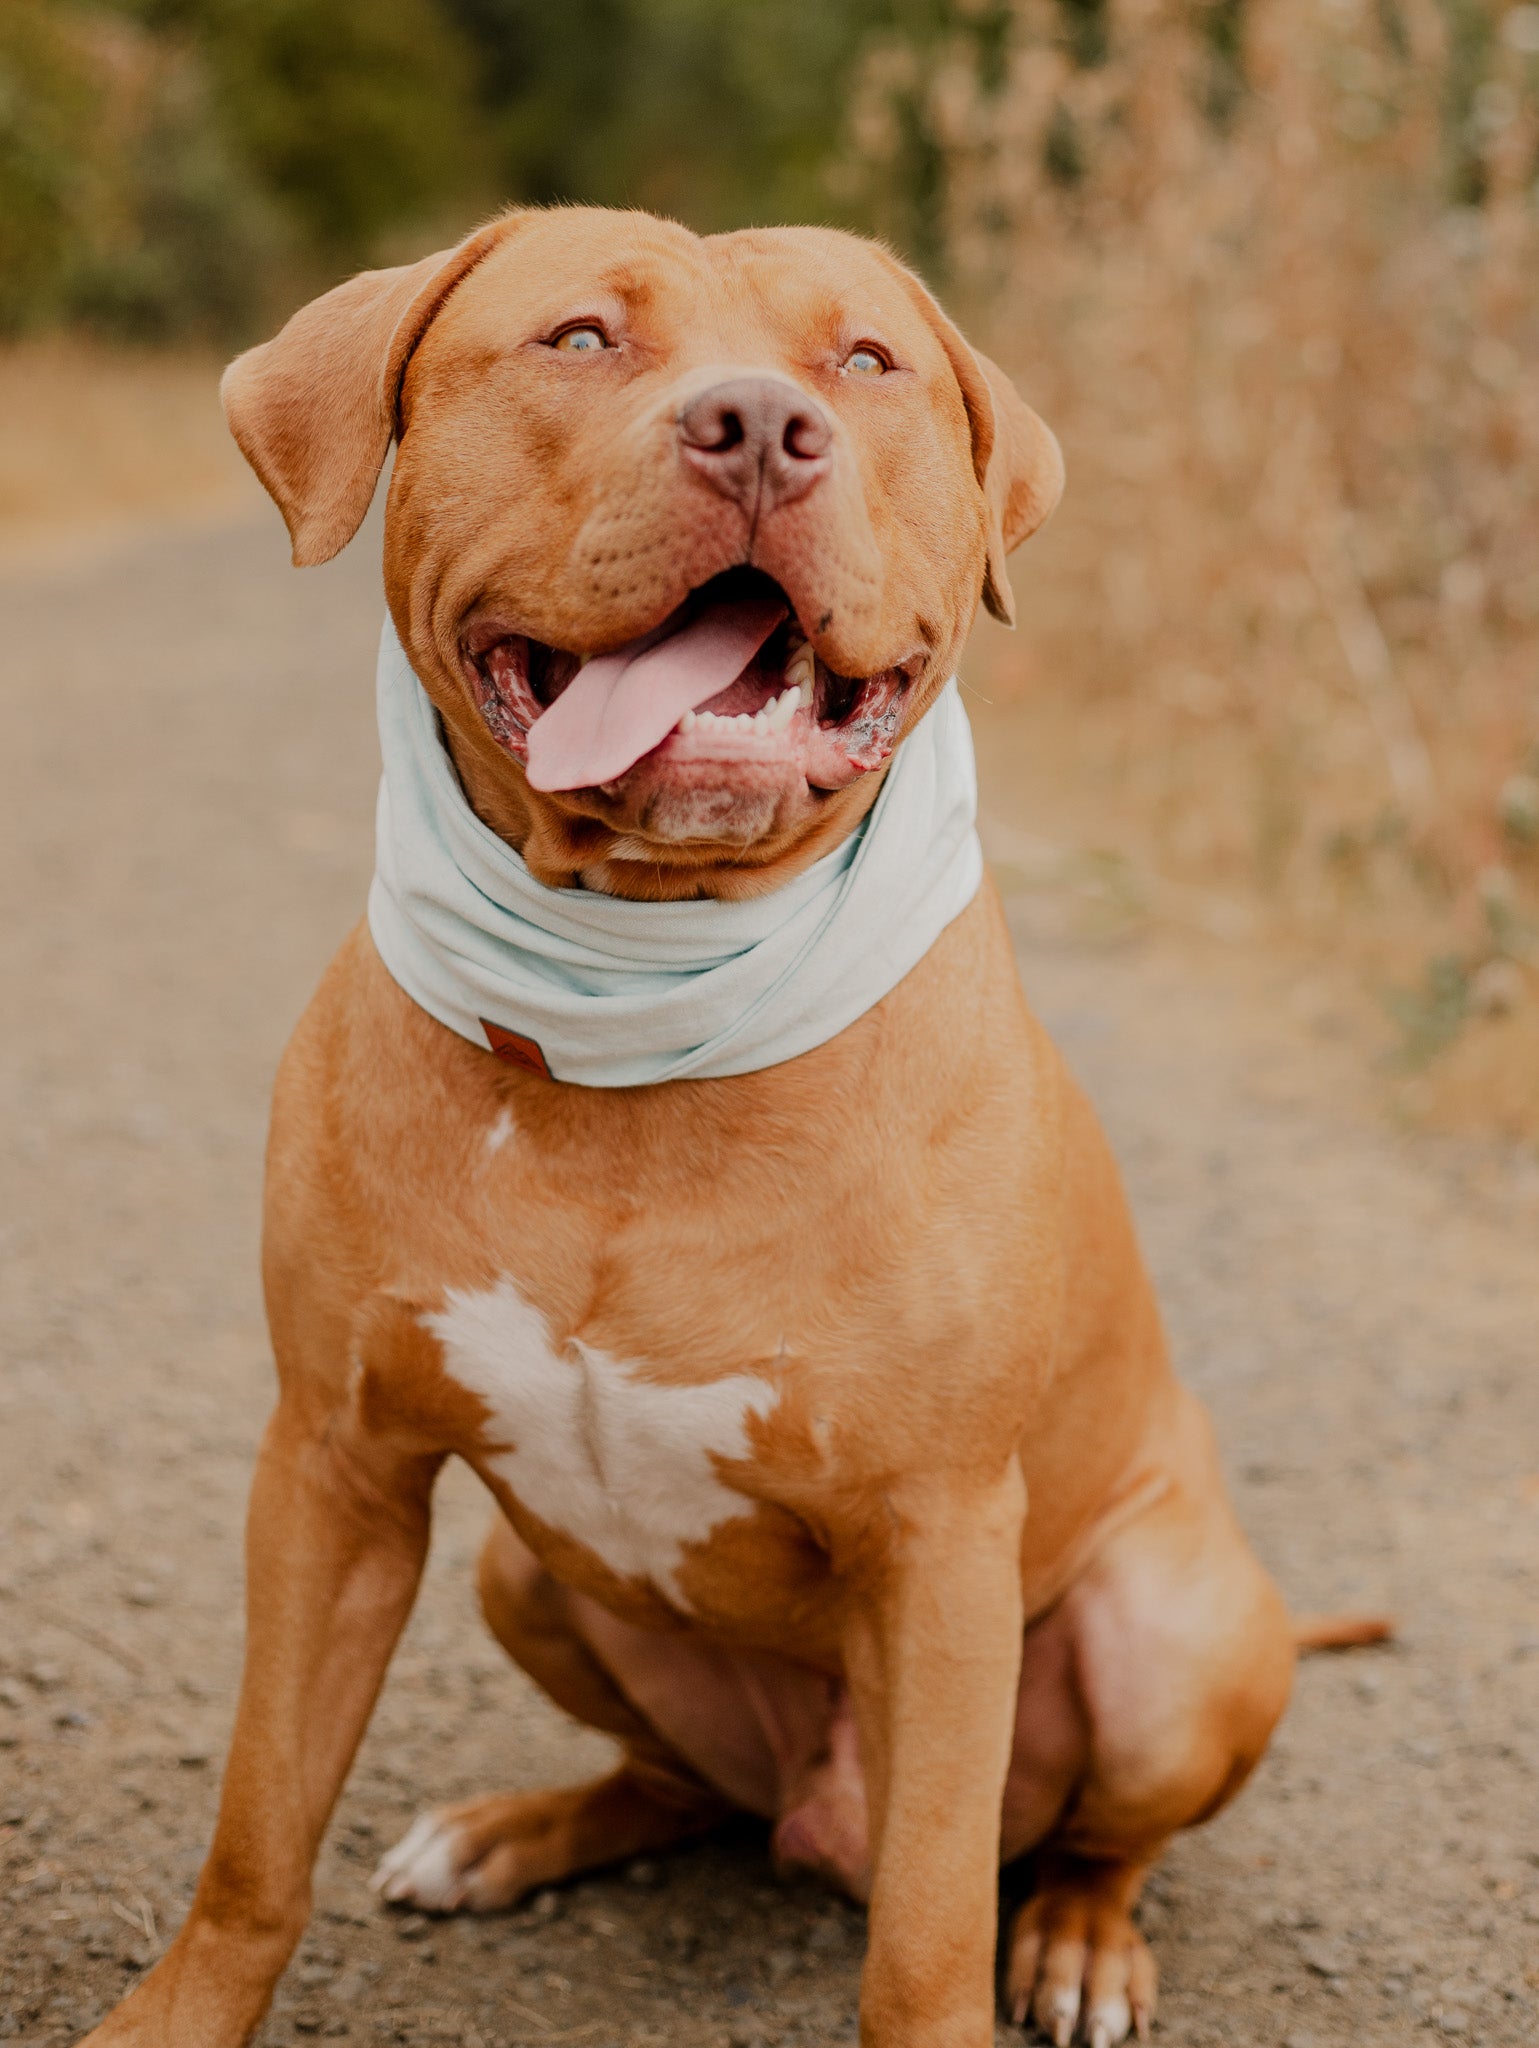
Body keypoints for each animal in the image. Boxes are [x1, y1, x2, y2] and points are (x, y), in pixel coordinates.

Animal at [81, 203, 1385, 2048]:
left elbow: (924, 1935)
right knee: (678, 1784)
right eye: (576, 337)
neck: (636, 1002)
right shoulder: (332, 1468)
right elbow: (259, 1827)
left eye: (866, 359)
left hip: (1167, 1637)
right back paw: (515, 1830)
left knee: (1081, 1840)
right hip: (522, 1579)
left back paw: (1076, 1940)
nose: (761, 425)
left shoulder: (940, 1543)